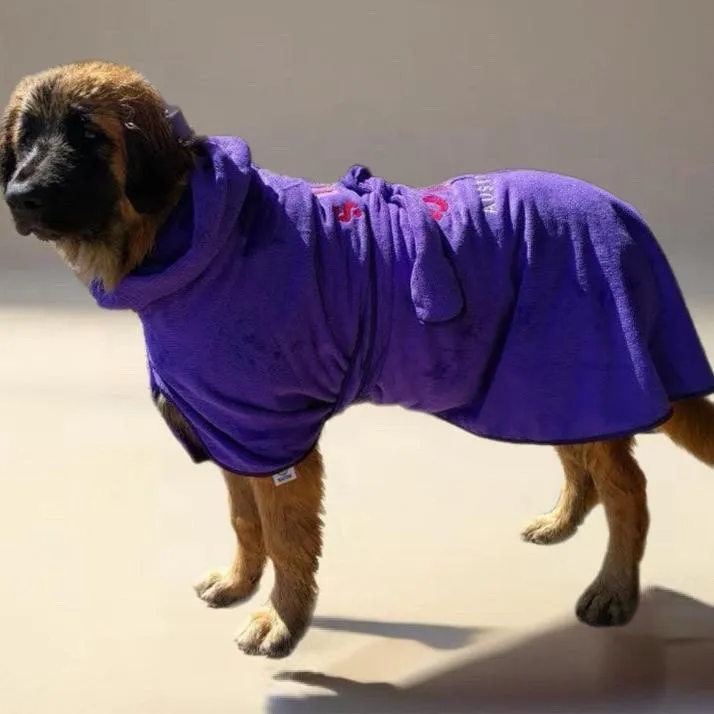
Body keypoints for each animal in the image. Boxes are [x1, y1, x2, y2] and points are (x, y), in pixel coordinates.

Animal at [1, 61, 712, 656]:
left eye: (88, 136)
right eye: (25, 135)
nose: (19, 195)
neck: (186, 231)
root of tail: (622, 211)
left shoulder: (273, 436)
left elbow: (286, 538)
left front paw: (281, 621)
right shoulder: (231, 428)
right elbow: (244, 520)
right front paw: (239, 581)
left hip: (593, 368)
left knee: (628, 489)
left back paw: (615, 589)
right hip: (548, 378)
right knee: (578, 457)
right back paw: (561, 523)